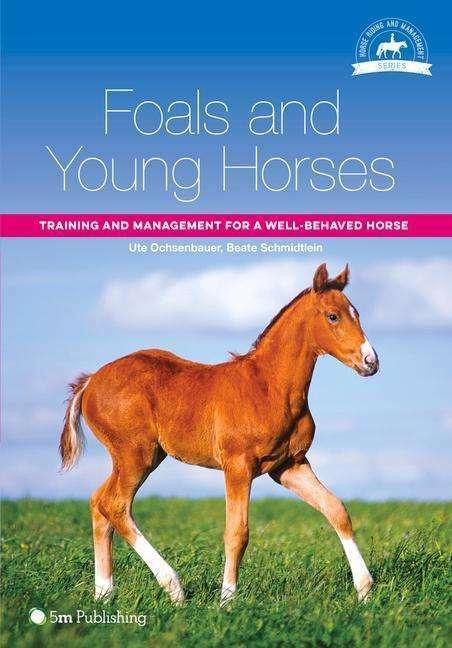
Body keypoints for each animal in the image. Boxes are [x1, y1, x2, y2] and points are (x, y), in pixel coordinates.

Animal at [60, 263, 379, 606]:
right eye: (333, 316)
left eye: (357, 313)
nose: (371, 362)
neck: (269, 386)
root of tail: (91, 380)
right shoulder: (238, 466)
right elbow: (237, 532)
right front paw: (228, 599)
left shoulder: (289, 465)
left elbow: (336, 510)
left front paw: (364, 590)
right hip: (135, 454)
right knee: (115, 505)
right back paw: (173, 587)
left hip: (139, 456)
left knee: (98, 502)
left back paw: (104, 593)